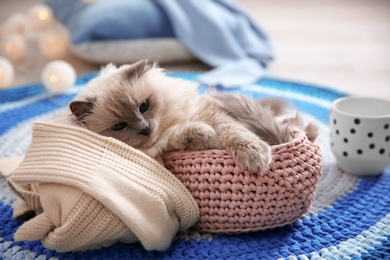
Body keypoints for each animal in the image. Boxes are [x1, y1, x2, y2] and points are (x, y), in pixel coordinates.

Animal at [69, 60, 316, 174]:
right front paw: (210, 139)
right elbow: (197, 133)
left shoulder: (210, 113)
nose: (145, 128)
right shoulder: (167, 145)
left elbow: (236, 134)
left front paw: (254, 157)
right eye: (119, 126)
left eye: (144, 106)